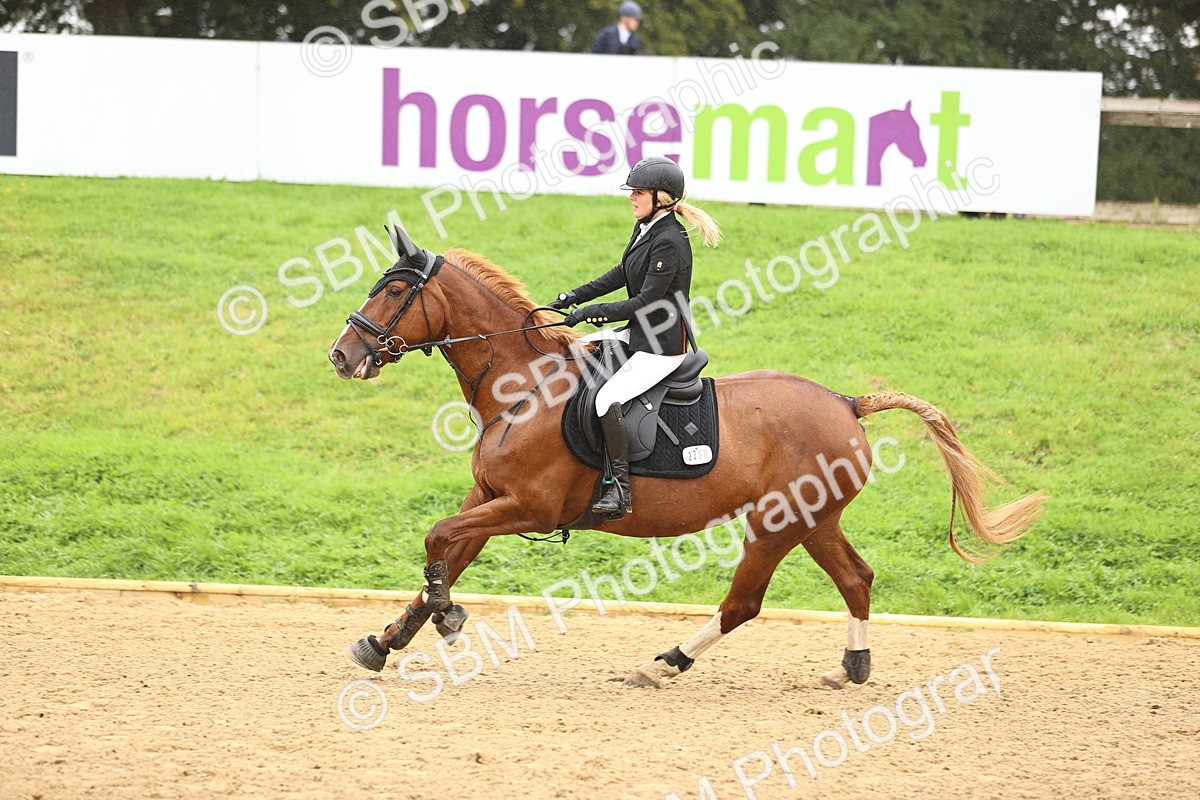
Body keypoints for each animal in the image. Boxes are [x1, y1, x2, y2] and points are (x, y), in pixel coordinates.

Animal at [327, 226, 1045, 689]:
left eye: (392, 290)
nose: (342, 355)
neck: (522, 386)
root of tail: (847, 402)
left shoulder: (528, 507)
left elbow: (437, 537)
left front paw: (446, 616)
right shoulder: (489, 498)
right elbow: (447, 551)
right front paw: (387, 641)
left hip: (777, 523)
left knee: (744, 603)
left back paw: (664, 662)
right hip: (815, 520)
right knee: (856, 579)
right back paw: (852, 667)